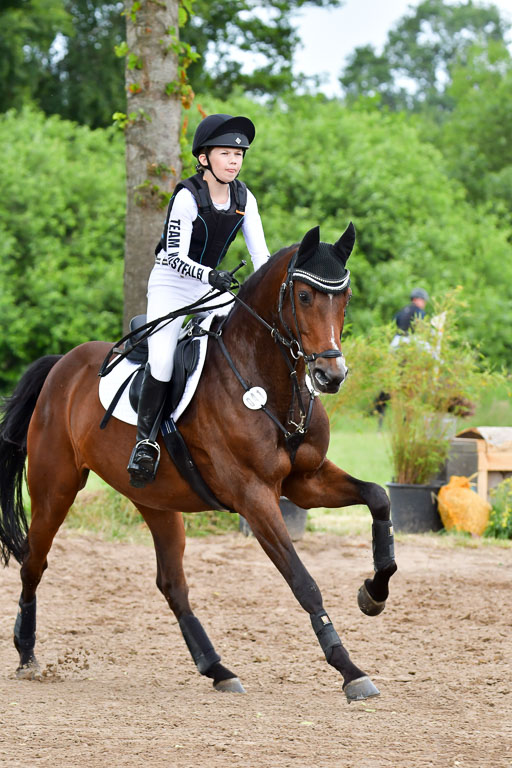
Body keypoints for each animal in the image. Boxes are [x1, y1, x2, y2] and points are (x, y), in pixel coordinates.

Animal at [0, 224, 397, 703]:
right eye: (303, 296)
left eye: (346, 296)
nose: (330, 376)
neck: (266, 380)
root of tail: (62, 366)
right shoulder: (254, 498)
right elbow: (304, 582)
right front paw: (349, 669)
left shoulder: (306, 481)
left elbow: (378, 497)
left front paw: (373, 594)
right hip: (55, 488)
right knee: (33, 561)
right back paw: (26, 653)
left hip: (155, 501)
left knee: (172, 585)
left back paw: (217, 668)